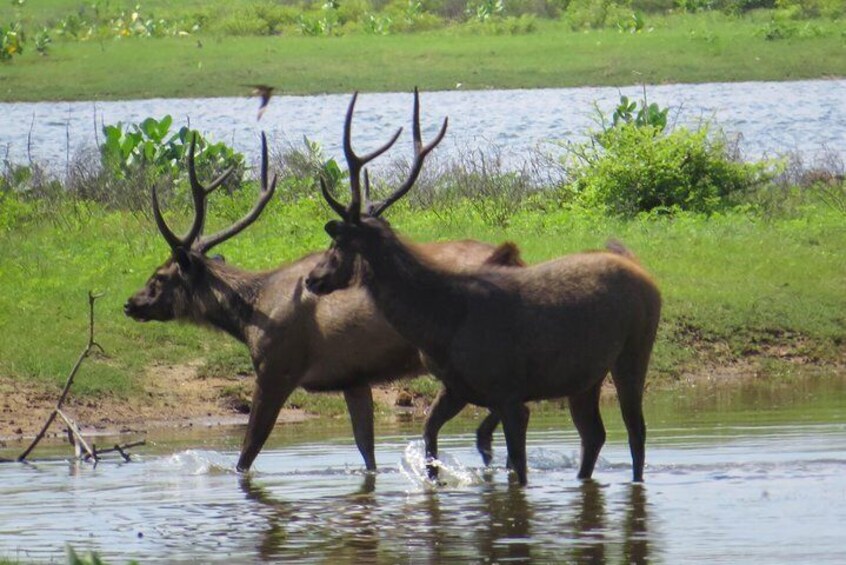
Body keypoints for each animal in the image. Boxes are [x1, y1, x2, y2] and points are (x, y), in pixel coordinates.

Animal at [125, 132, 524, 472]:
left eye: (160, 275)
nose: (131, 303)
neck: (251, 316)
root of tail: (512, 259)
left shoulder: (277, 369)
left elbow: (248, 452)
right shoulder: (353, 377)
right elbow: (367, 453)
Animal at [304, 89, 664, 484]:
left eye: (337, 244)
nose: (312, 278)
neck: (438, 325)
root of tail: (643, 270)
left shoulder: (509, 392)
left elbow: (518, 469)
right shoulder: (458, 387)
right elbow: (430, 435)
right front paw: (434, 480)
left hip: (635, 347)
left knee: (635, 431)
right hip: (586, 376)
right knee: (594, 435)